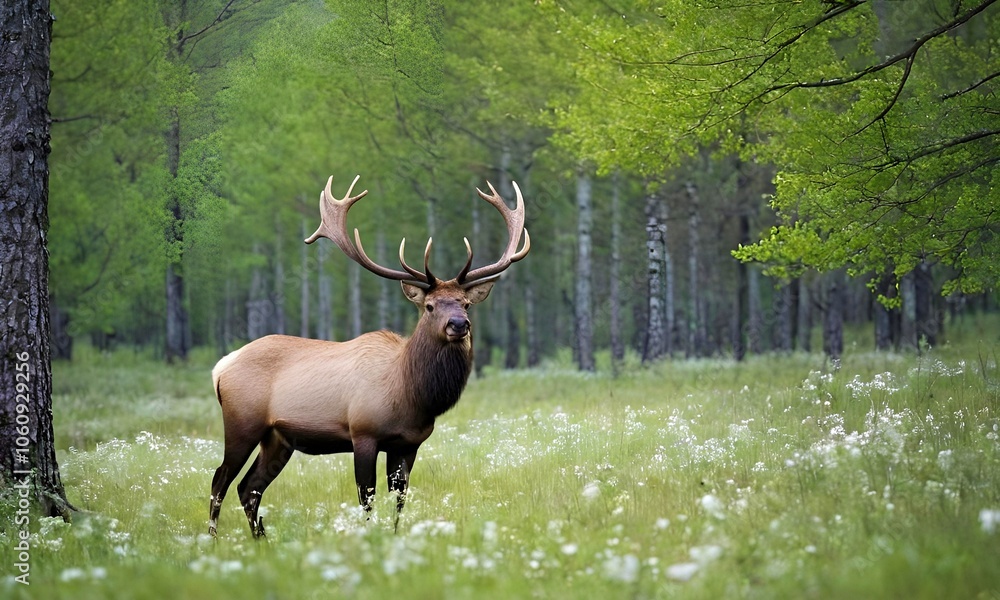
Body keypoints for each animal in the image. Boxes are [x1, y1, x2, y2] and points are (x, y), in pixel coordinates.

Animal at [207, 173, 528, 540]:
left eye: (466, 303)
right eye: (430, 306)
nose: (459, 325)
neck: (413, 395)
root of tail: (221, 367)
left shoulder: (408, 443)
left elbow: (399, 500)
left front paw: (394, 536)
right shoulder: (363, 433)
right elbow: (367, 498)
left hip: (278, 438)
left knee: (249, 487)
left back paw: (261, 539)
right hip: (242, 423)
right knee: (220, 478)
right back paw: (212, 539)